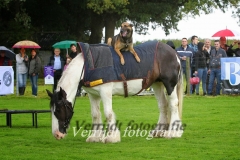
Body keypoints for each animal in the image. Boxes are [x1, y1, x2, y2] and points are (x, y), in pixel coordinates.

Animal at [46, 40, 183, 142]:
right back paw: (158, 131)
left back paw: (173, 133)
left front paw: (111, 137)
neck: (87, 66)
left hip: (170, 85)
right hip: (157, 84)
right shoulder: (92, 94)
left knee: (173, 104)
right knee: (163, 105)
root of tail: (172, 51)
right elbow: (95, 114)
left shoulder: (105, 91)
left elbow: (108, 113)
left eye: (58, 110)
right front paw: (95, 137)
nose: (57, 134)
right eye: (51, 110)